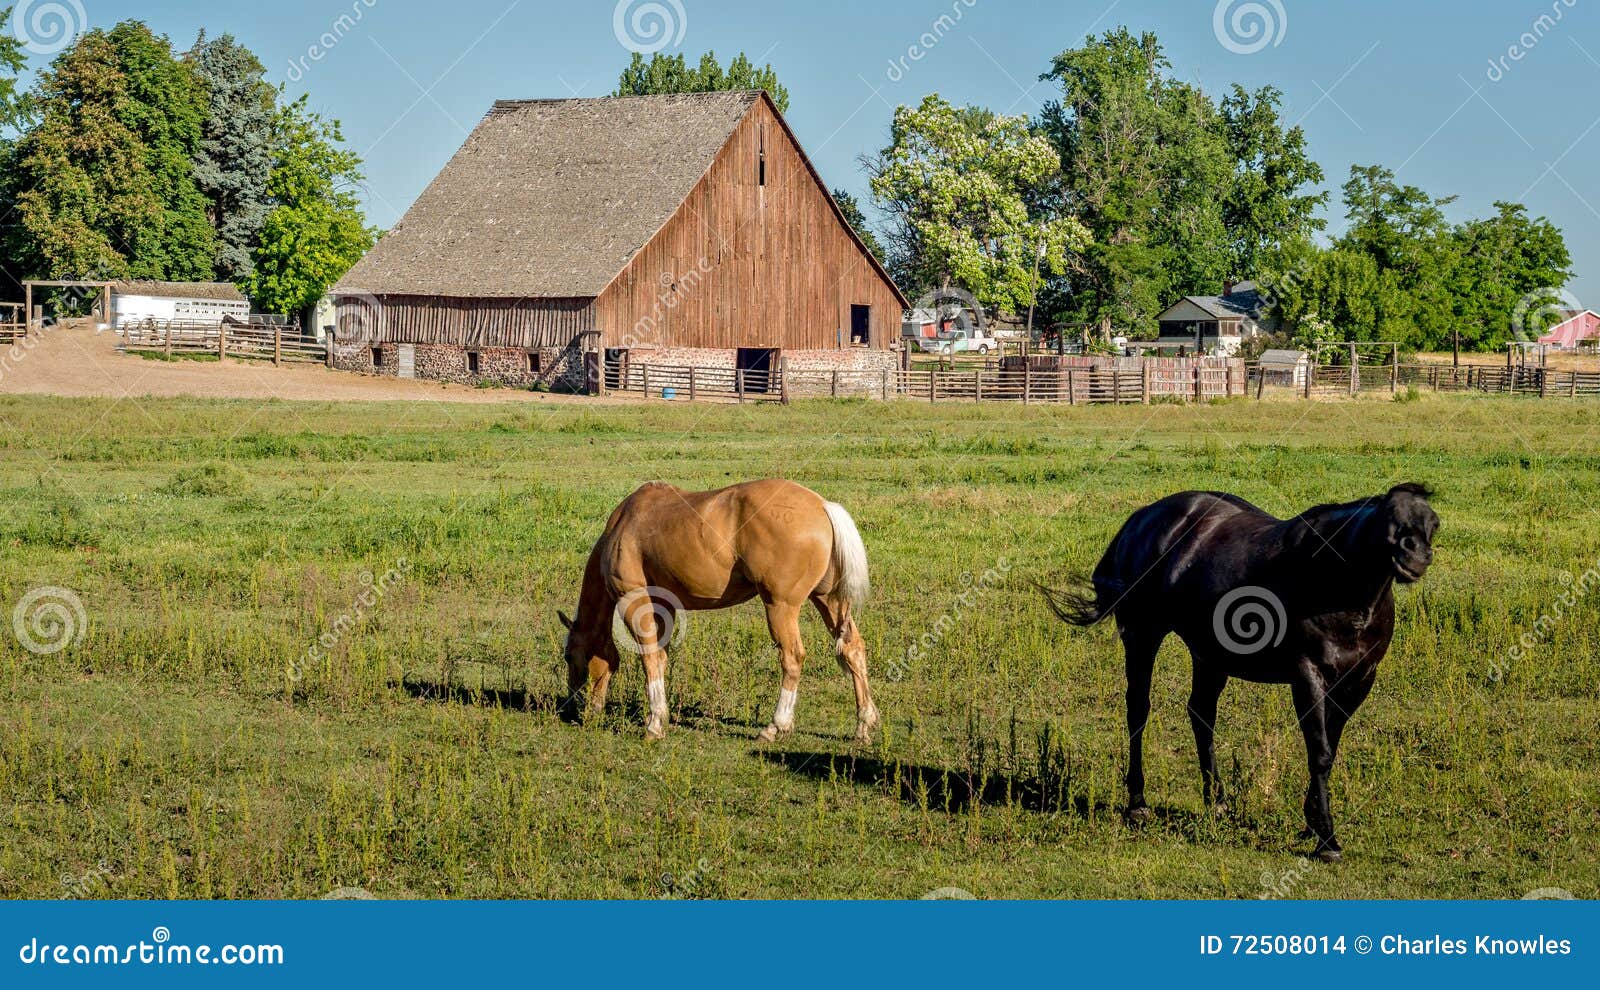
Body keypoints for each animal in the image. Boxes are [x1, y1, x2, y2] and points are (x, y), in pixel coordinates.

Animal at [559, 479, 880, 744]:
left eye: (569, 656)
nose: (573, 709)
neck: (624, 523)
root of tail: (823, 506)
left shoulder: (634, 601)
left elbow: (649, 657)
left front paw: (654, 724)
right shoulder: (663, 607)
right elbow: (661, 658)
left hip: (781, 607)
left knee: (792, 658)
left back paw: (775, 727)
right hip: (828, 601)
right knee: (852, 648)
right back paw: (864, 724)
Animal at [1041, 483, 1439, 862]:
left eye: (1433, 523)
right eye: (1388, 516)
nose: (1416, 557)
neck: (1336, 582)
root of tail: (1141, 519)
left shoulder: (1359, 680)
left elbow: (1330, 746)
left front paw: (1311, 822)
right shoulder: (1307, 676)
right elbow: (1320, 751)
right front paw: (1326, 839)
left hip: (1209, 655)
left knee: (1201, 714)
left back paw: (1216, 801)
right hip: (1143, 636)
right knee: (1138, 710)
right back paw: (1138, 804)